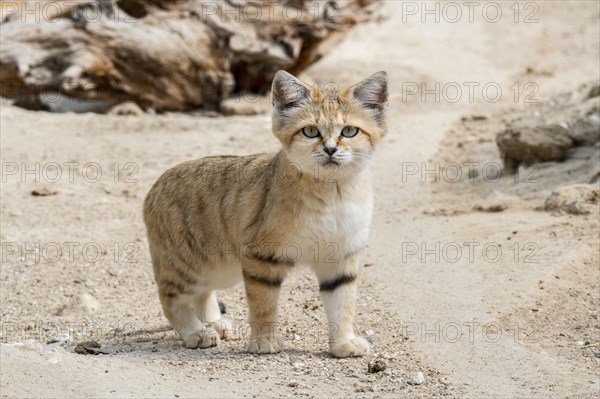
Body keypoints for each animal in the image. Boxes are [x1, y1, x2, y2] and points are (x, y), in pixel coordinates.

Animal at [145, 70, 390, 358]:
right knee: (169, 296)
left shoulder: (340, 257)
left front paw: (343, 342)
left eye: (350, 131)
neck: (332, 193)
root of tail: (157, 183)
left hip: (222, 268)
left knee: (202, 293)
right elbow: (264, 304)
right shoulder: (262, 257)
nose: (330, 149)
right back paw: (196, 332)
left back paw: (214, 323)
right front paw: (265, 340)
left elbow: (343, 304)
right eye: (310, 131)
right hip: (191, 266)